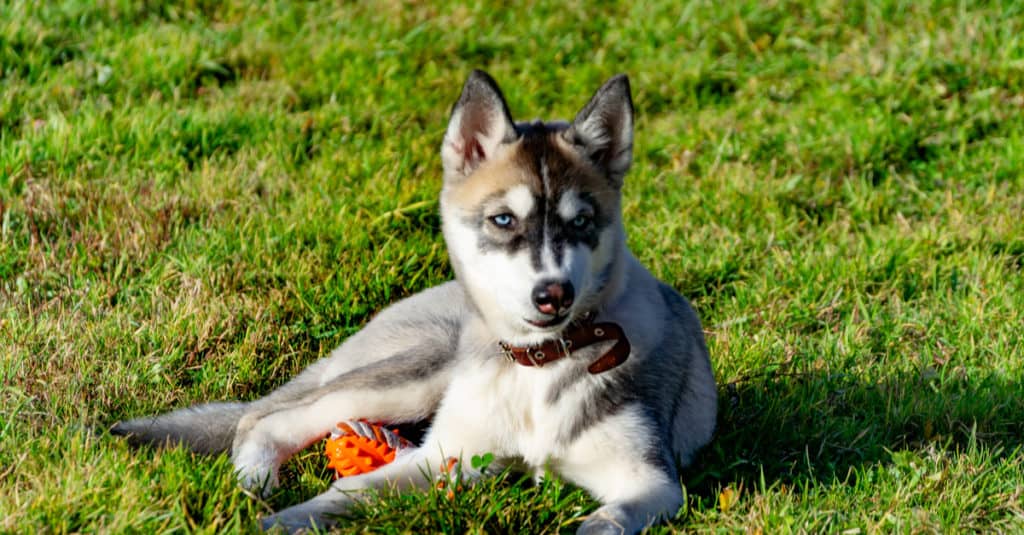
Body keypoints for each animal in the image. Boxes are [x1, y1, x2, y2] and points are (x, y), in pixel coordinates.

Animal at [112, 70, 716, 532]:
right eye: (503, 220)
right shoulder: (447, 454)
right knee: (266, 419)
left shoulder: (650, 481)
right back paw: (253, 482)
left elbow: (606, 521)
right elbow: (349, 492)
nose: (552, 295)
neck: (538, 367)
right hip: (415, 373)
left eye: (583, 222)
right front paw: (278, 522)